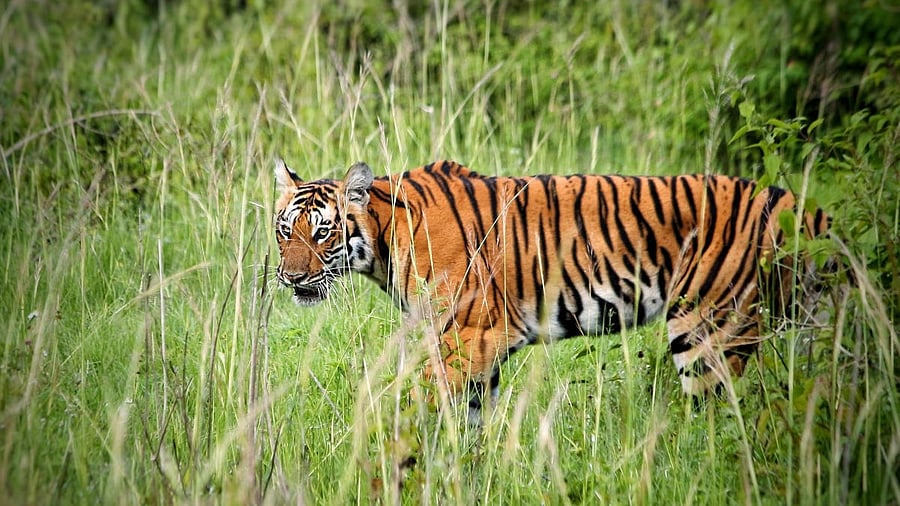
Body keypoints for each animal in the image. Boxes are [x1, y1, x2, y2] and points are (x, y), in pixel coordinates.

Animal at [273, 159, 832, 418]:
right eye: (284, 231)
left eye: (322, 233)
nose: (291, 278)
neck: (386, 241)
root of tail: (793, 202)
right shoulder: (476, 350)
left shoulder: (465, 339)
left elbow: (417, 408)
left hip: (710, 330)